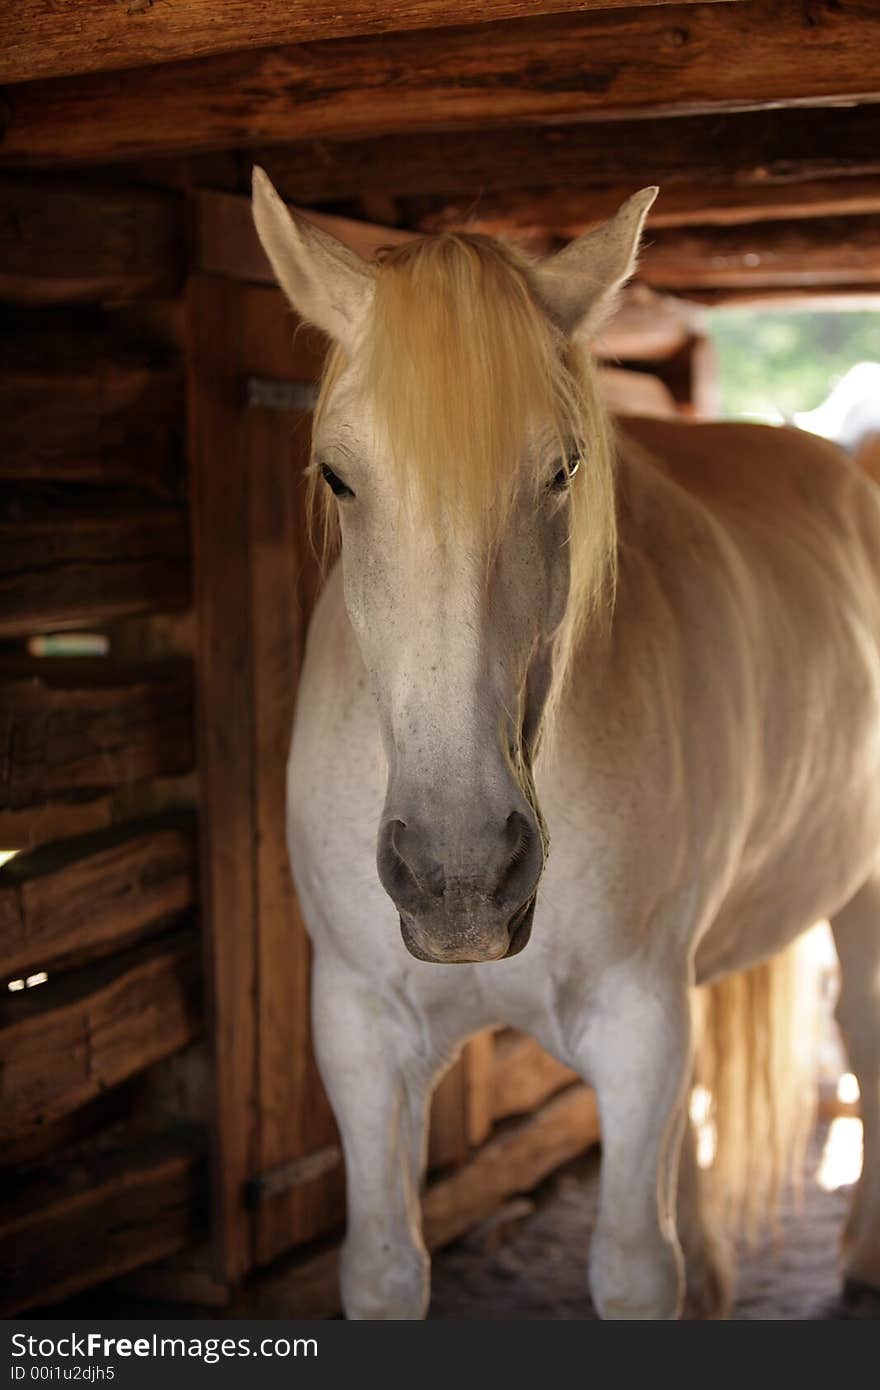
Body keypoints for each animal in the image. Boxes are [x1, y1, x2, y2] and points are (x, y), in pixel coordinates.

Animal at [248, 168, 878, 1317]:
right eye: (339, 476)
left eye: (562, 470)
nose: (457, 877)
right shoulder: (361, 1038)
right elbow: (384, 1265)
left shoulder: (636, 1031)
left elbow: (632, 1265)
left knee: (864, 1031)